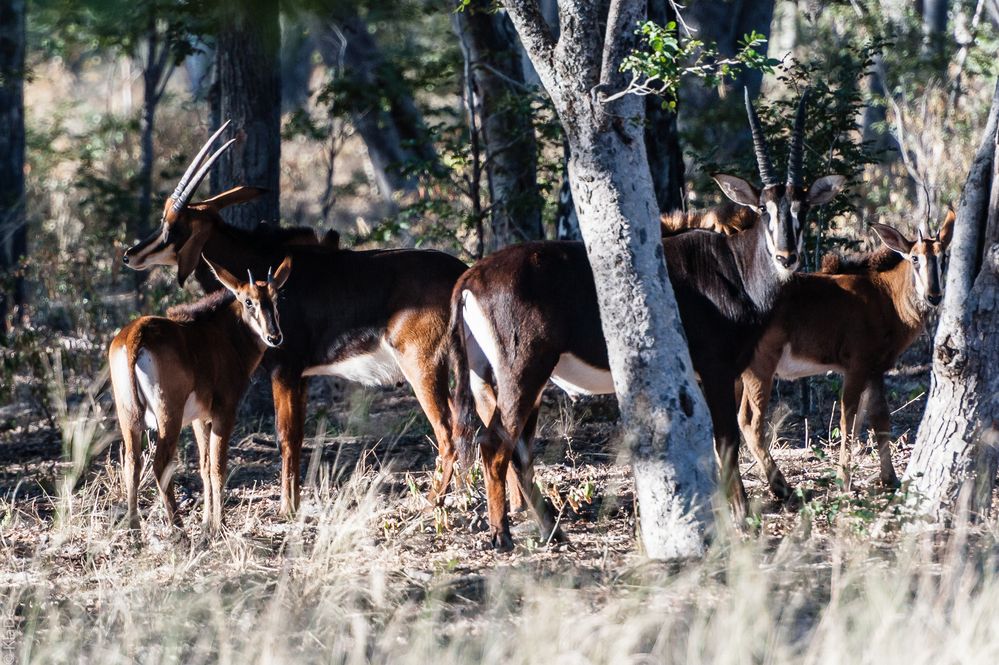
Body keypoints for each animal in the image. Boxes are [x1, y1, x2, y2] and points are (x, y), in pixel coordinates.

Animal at [113, 256, 294, 532]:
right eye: (248, 300)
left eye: (275, 298)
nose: (274, 336)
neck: (224, 334)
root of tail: (136, 336)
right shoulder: (224, 412)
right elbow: (218, 468)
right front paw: (219, 525)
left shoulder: (200, 418)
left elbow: (205, 466)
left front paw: (208, 521)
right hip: (169, 415)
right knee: (160, 464)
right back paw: (178, 529)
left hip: (128, 416)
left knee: (132, 463)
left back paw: (134, 531)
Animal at [450, 88, 848, 548]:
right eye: (764, 208)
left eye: (802, 209)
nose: (787, 255)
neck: (733, 266)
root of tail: (471, 277)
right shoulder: (716, 370)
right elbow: (727, 441)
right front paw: (742, 518)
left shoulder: (722, 374)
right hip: (523, 369)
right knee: (496, 443)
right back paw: (502, 534)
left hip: (502, 378)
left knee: (518, 448)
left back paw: (553, 531)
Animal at [740, 210, 956, 496]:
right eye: (915, 258)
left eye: (944, 258)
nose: (934, 296)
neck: (886, 296)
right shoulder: (857, 365)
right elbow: (848, 420)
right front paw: (844, 480)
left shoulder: (876, 369)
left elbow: (880, 420)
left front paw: (890, 478)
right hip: (760, 365)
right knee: (749, 422)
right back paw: (781, 487)